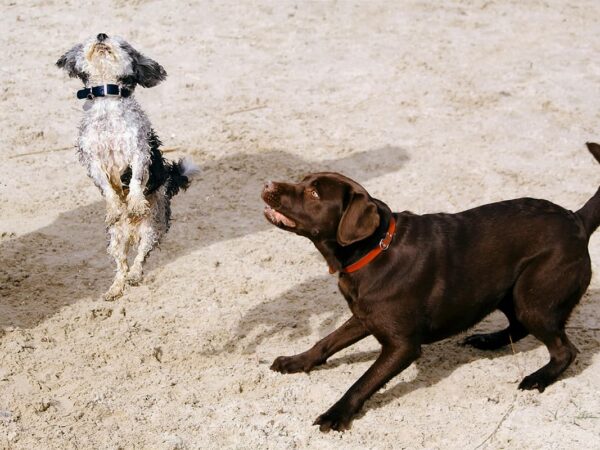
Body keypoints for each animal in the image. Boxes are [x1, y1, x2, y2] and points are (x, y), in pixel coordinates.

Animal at [56, 33, 198, 300]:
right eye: (89, 39)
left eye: (122, 45)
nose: (101, 35)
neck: (108, 103)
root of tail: (132, 232)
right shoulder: (93, 160)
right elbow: (107, 187)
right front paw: (115, 208)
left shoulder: (138, 152)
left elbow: (135, 180)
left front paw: (134, 203)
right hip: (115, 239)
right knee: (121, 264)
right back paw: (115, 288)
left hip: (152, 228)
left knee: (140, 257)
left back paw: (134, 274)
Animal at [264, 144, 600, 432]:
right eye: (302, 180)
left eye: (313, 193)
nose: (267, 185)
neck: (373, 251)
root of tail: (576, 220)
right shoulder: (363, 316)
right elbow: (327, 342)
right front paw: (296, 362)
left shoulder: (402, 346)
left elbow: (364, 380)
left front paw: (336, 414)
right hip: (510, 291)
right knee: (518, 328)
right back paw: (487, 340)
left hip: (533, 298)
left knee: (564, 350)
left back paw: (537, 378)